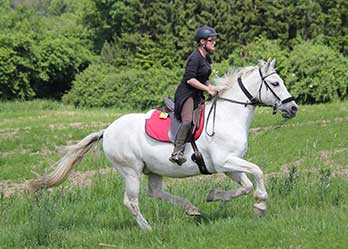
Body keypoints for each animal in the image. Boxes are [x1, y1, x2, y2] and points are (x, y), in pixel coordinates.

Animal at [28, 59, 298, 231]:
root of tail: (108, 130)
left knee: (155, 192)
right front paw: (261, 204)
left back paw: (191, 208)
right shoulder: (226, 161)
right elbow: (258, 172)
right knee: (131, 201)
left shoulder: (228, 165)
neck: (228, 116)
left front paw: (214, 196)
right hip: (131, 170)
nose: (293, 107)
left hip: (154, 169)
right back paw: (148, 229)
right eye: (275, 84)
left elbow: (244, 185)